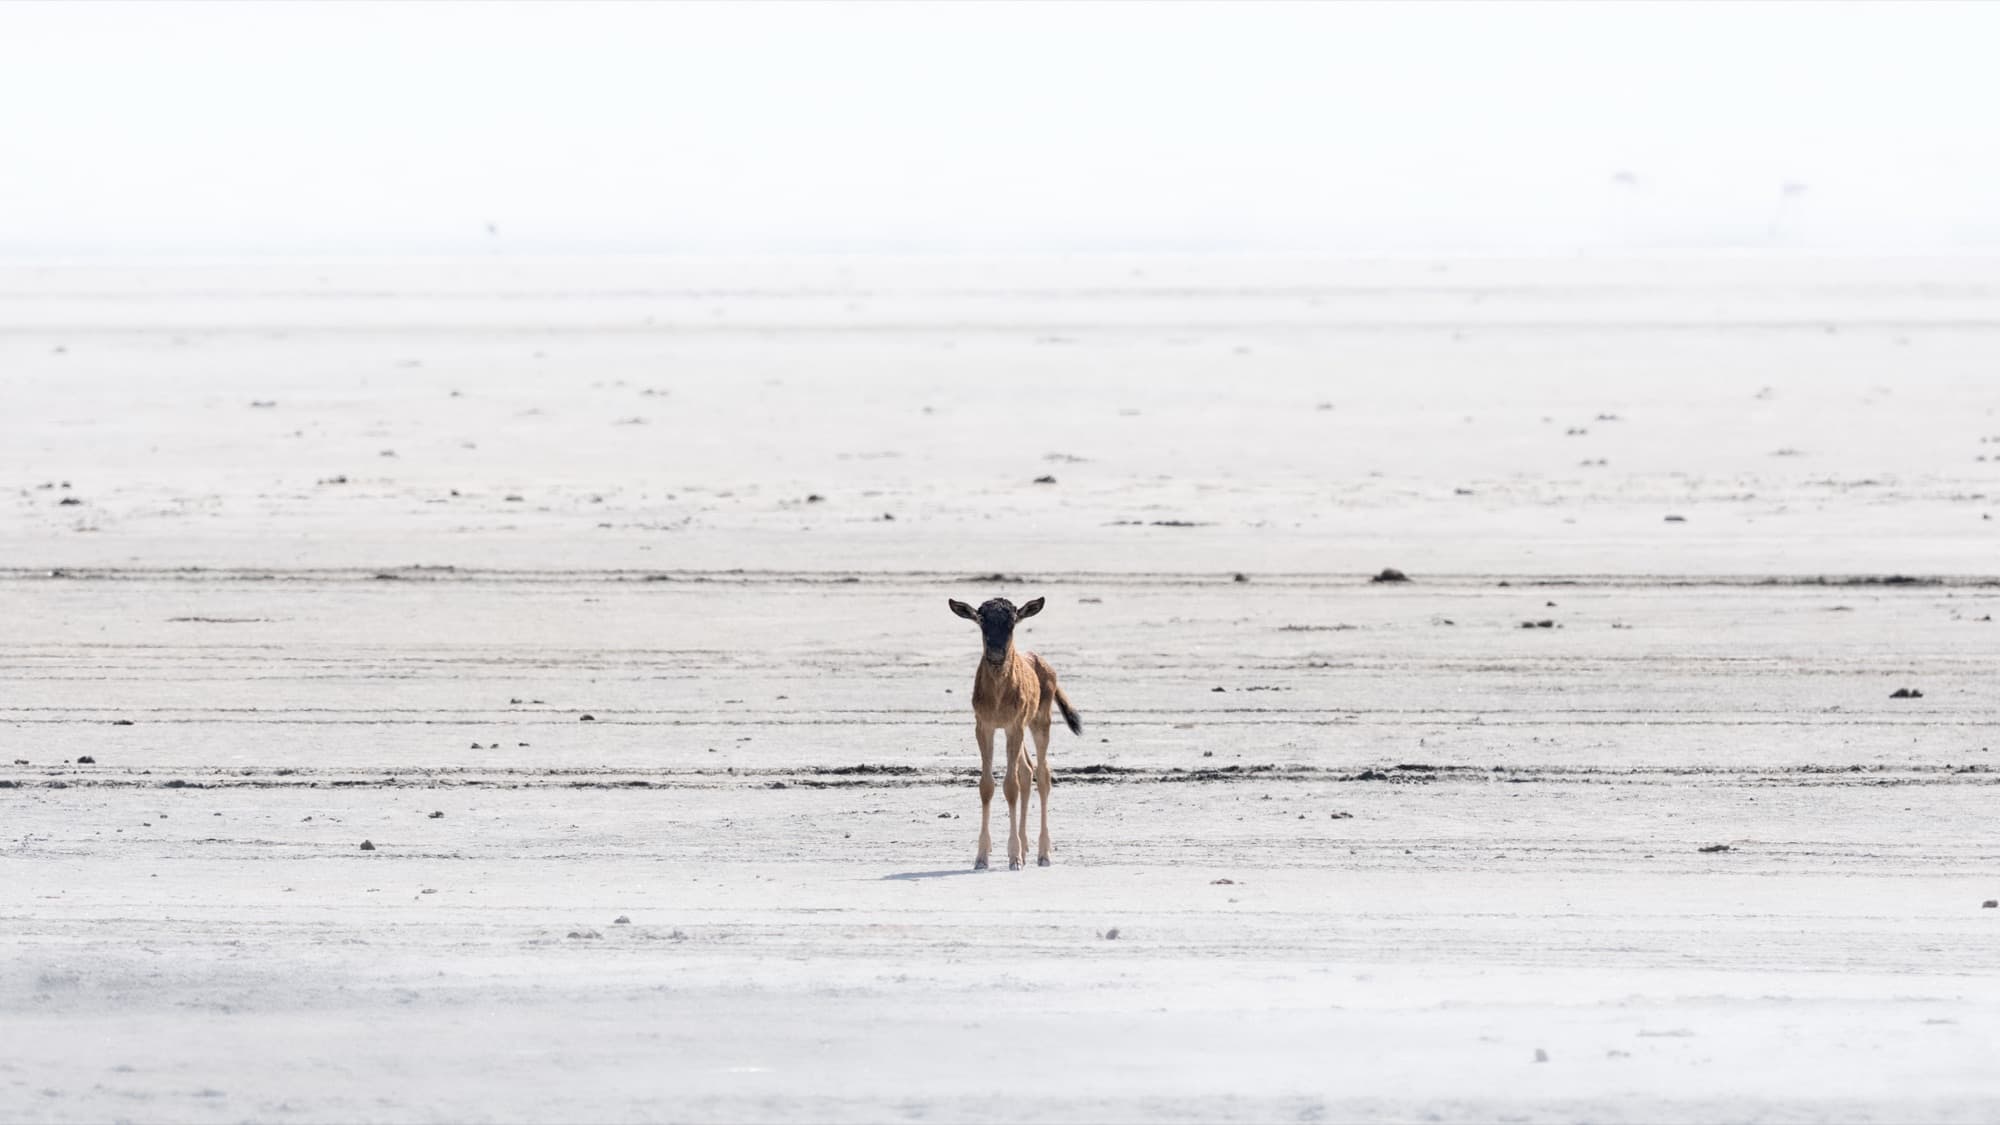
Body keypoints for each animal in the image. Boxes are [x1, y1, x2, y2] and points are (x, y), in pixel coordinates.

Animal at [947, 596, 1082, 870]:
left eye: (1012, 622)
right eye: (981, 619)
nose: (996, 653)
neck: (998, 696)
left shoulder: (1014, 725)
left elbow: (1010, 786)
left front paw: (1014, 858)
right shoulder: (984, 725)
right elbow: (987, 785)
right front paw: (982, 857)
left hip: (1040, 720)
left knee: (1042, 773)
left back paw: (1043, 854)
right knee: (1027, 770)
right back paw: (1026, 847)